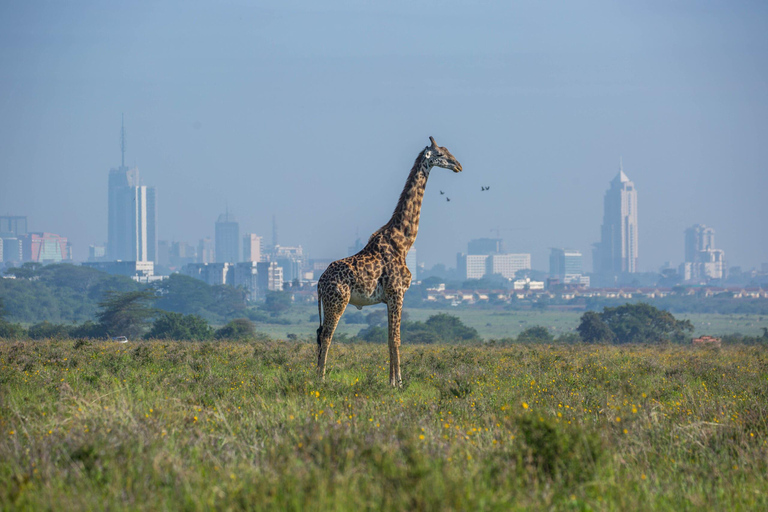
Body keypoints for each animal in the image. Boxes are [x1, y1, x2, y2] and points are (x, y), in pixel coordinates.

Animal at [316, 138, 462, 386]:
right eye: (441, 154)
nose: (458, 165)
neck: (403, 241)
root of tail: (318, 284)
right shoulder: (397, 292)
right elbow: (396, 339)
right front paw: (398, 383)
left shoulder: (388, 298)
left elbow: (388, 339)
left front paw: (391, 381)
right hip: (337, 301)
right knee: (326, 336)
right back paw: (321, 379)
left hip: (329, 303)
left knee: (319, 335)